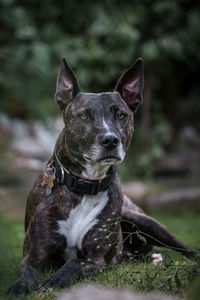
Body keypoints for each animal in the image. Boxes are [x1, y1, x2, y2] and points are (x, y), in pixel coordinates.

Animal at [7, 57, 194, 294]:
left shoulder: (95, 258)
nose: (110, 140)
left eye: (121, 115)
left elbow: (73, 263)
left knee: (185, 248)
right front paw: (19, 287)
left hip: (144, 220)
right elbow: (26, 270)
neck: (85, 185)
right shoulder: (34, 253)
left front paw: (52, 281)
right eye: (84, 115)